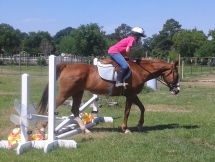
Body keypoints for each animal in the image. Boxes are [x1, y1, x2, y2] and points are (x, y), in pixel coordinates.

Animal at [37, 58, 180, 134]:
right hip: (66, 93)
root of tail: (68, 65)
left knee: (75, 110)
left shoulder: (133, 95)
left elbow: (142, 108)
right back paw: (43, 129)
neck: (140, 71)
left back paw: (85, 129)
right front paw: (126, 129)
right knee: (53, 106)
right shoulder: (130, 95)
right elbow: (127, 111)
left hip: (78, 92)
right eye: (176, 75)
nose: (177, 90)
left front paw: (139, 125)